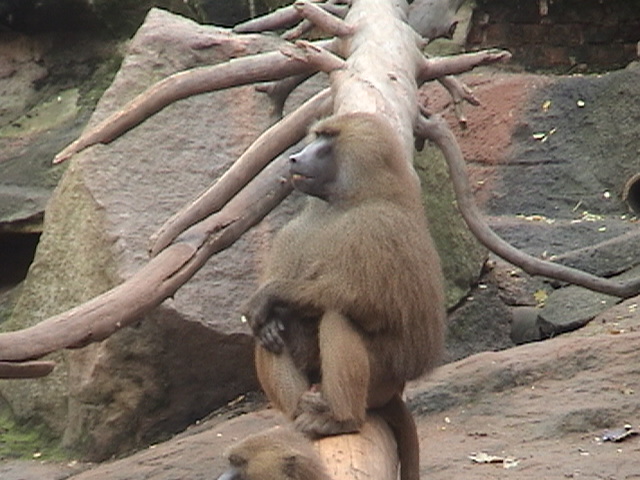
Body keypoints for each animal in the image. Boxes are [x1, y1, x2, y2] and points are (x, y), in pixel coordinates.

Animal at [242, 112, 446, 480]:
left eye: (327, 140)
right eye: (317, 136)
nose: (294, 158)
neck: (342, 203)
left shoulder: (377, 227)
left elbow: (366, 304)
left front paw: (271, 294)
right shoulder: (292, 234)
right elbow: (270, 320)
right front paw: (268, 317)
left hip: (382, 380)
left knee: (339, 317)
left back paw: (340, 419)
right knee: (268, 336)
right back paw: (301, 411)